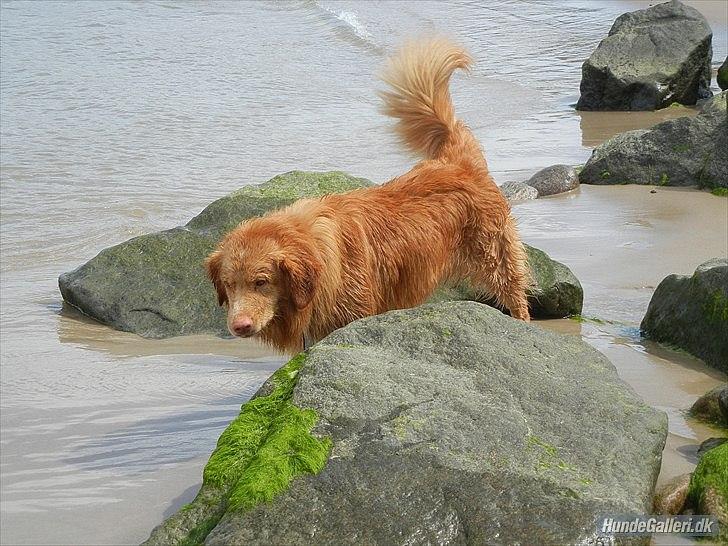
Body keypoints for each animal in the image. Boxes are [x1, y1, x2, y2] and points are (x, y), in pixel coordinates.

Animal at [205, 37, 528, 352]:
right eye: (229, 284)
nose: (239, 326)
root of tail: (457, 161)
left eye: (261, 282)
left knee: (516, 297)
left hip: (497, 259)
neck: (322, 258)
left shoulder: (354, 315)